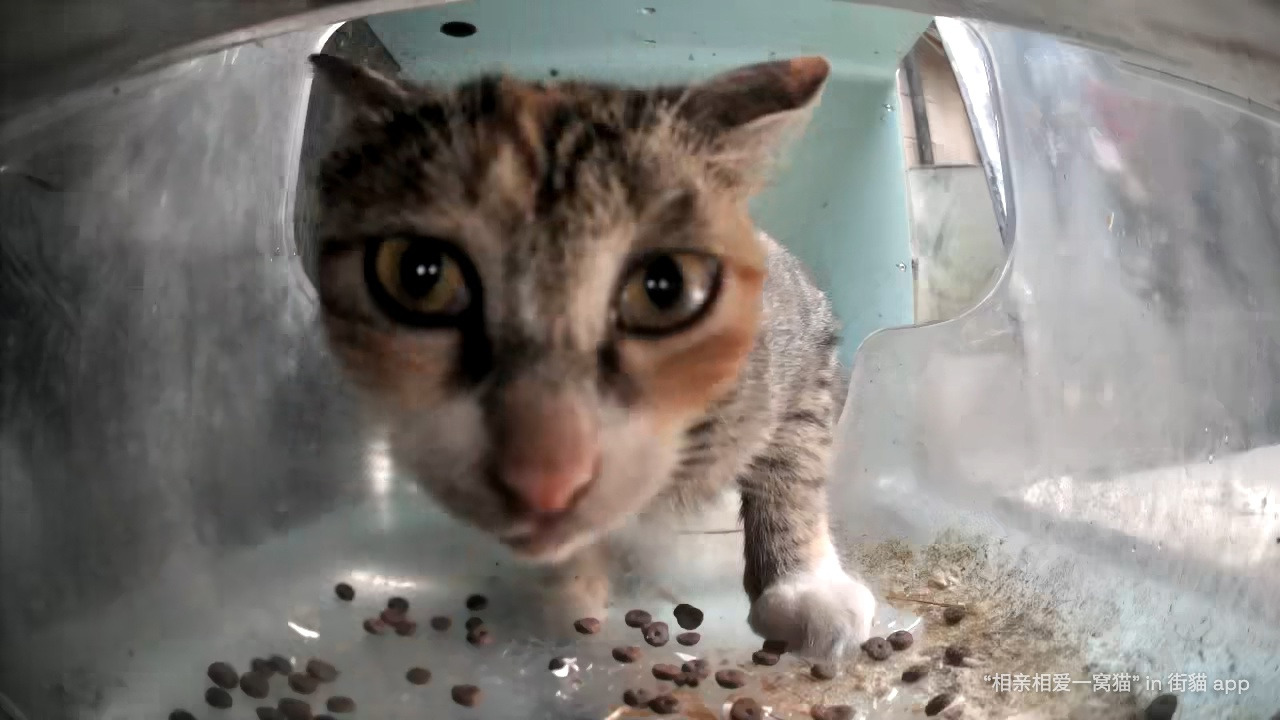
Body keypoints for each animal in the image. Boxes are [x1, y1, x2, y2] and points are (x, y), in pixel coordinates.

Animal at [308, 52, 876, 659]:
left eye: (666, 287)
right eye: (420, 274)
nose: (546, 471)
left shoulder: (810, 346)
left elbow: (795, 467)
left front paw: (806, 590)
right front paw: (570, 597)